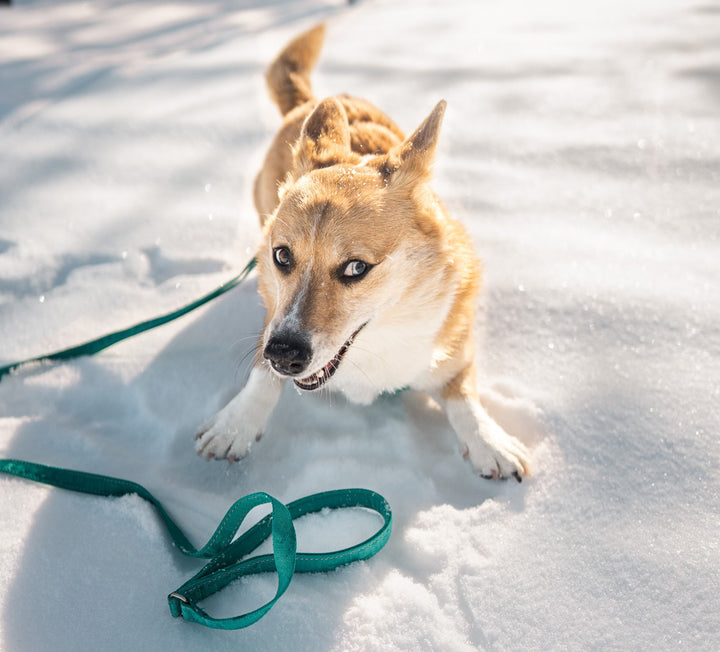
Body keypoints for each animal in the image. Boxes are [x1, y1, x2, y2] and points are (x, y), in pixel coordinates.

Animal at [194, 25, 532, 482]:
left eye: (356, 267)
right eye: (282, 256)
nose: (284, 355)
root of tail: (307, 104)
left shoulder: (453, 348)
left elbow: (463, 396)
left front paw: (488, 443)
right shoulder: (273, 320)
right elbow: (261, 376)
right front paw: (236, 425)